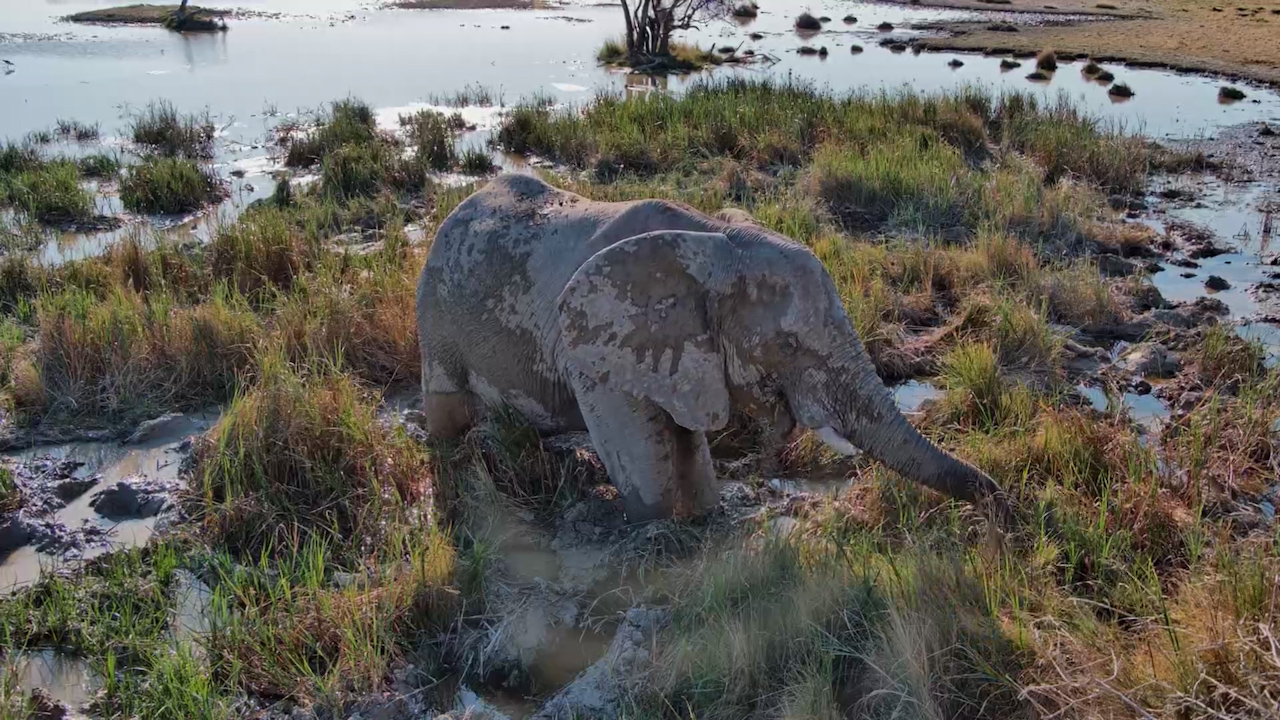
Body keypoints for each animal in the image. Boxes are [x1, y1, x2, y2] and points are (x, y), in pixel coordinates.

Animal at [416, 174, 1010, 523]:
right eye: (787, 345)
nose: (1001, 514)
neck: (713, 239)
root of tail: (454, 210)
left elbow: (690, 451)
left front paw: (704, 517)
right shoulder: (594, 352)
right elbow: (650, 481)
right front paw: (658, 529)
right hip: (437, 317)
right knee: (447, 411)